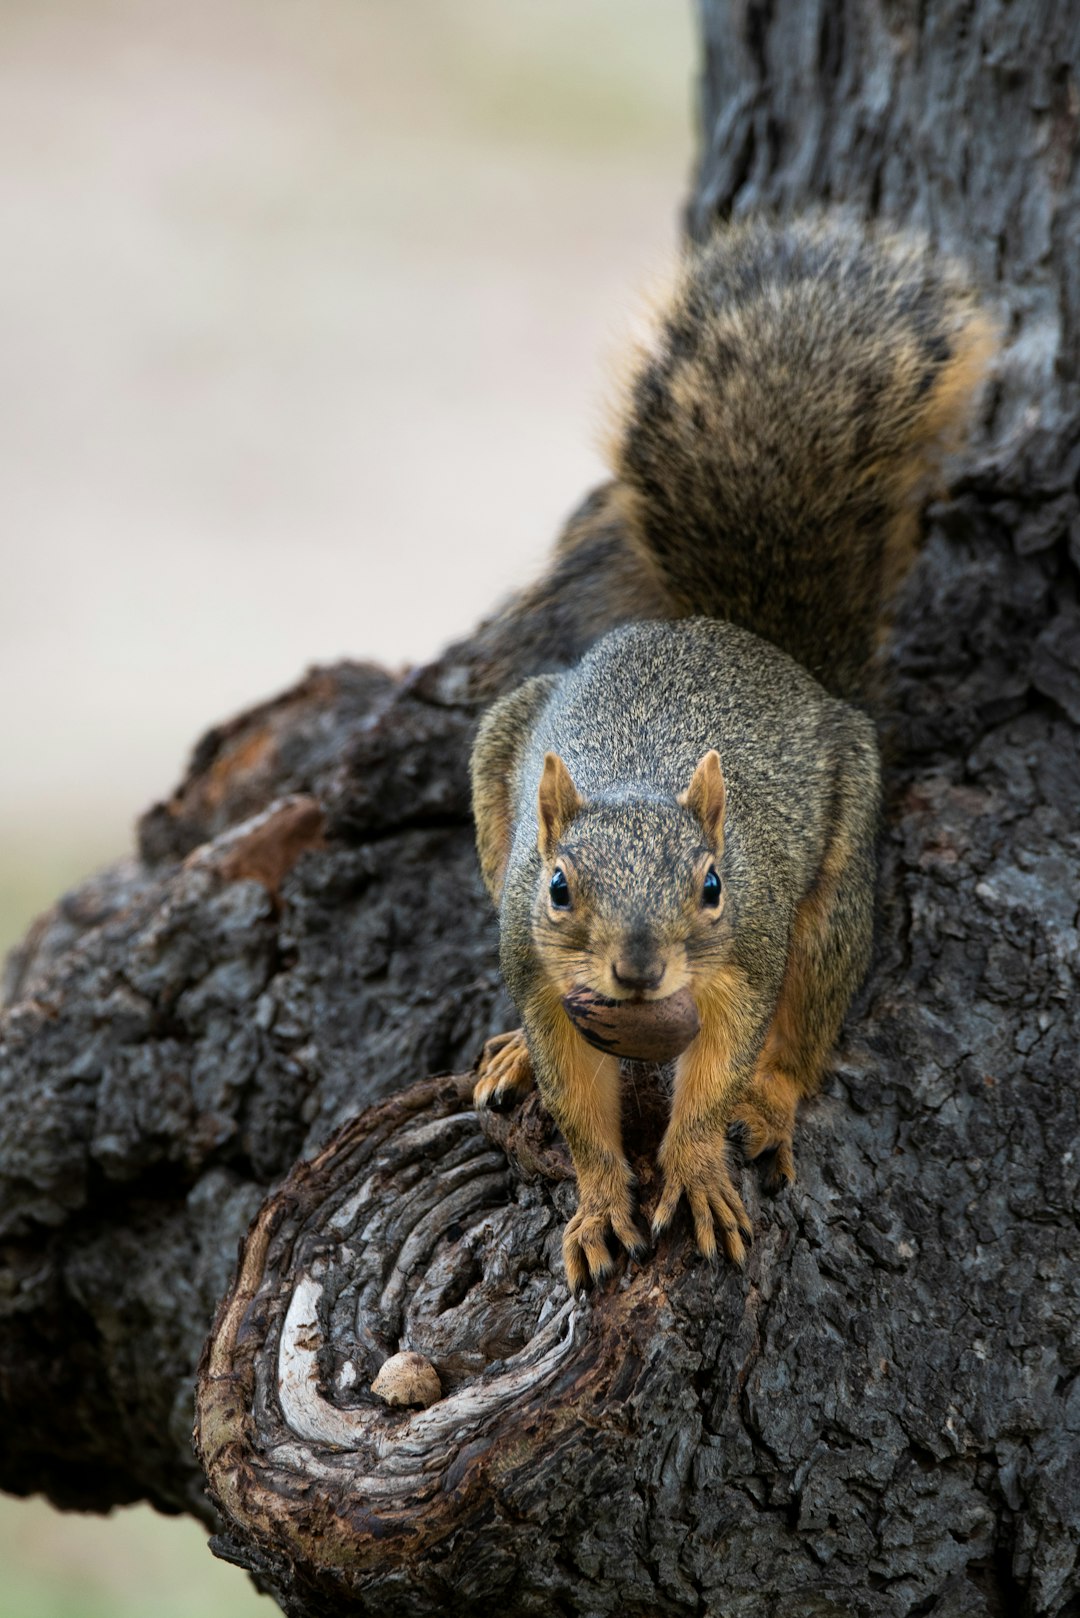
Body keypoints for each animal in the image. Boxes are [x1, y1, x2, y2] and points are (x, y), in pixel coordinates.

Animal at [469, 215, 990, 1287]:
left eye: (712, 885)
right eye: (558, 887)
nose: (636, 970)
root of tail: (754, 642)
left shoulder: (743, 958)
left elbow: (716, 1073)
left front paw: (700, 1166)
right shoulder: (537, 967)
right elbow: (579, 1110)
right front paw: (596, 1206)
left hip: (837, 872)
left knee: (810, 1011)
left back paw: (773, 1102)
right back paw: (508, 1055)